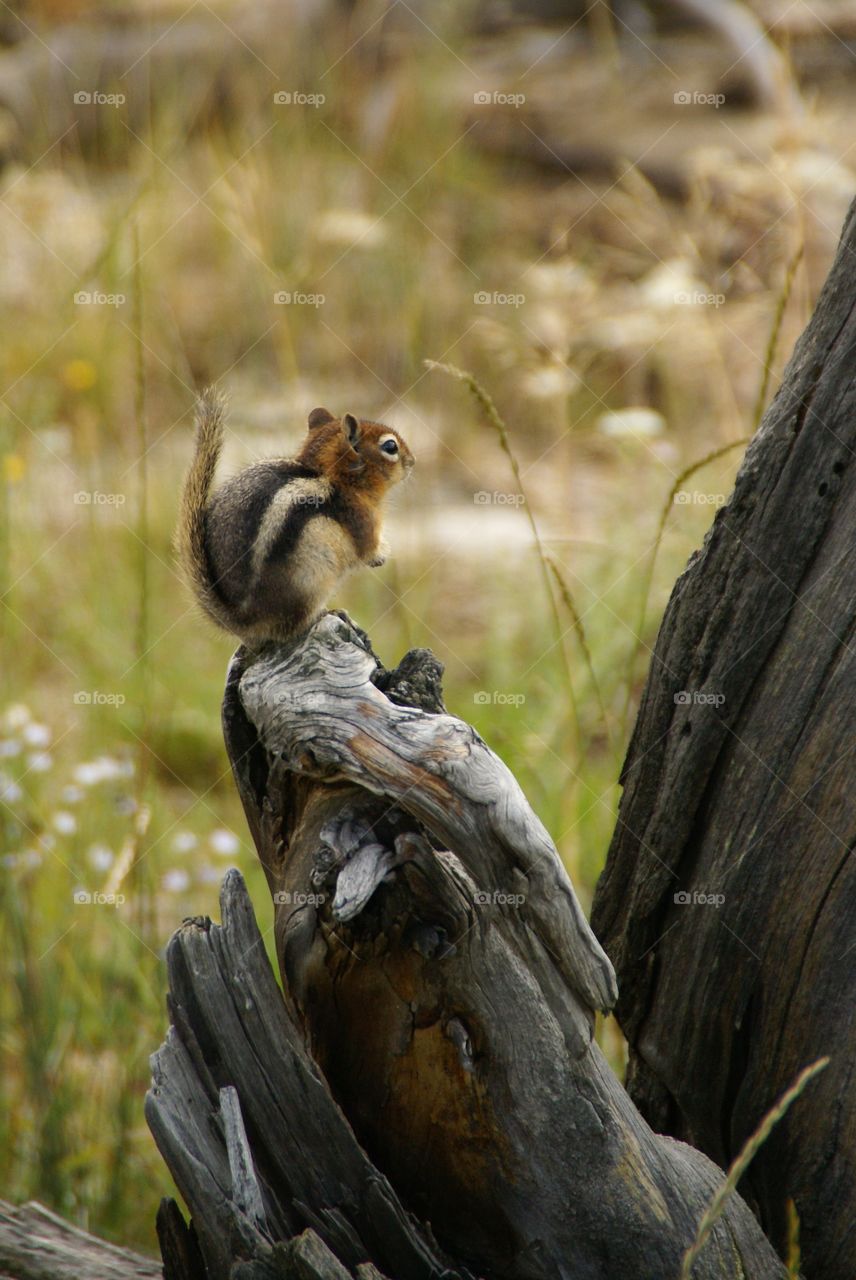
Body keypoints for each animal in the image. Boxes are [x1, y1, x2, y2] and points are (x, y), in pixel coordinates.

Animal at [176, 389, 414, 647]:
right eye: (390, 446)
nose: (412, 462)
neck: (331, 477)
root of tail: (243, 620)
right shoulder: (363, 522)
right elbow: (368, 550)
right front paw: (382, 554)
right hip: (311, 579)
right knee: (294, 627)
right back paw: (332, 613)